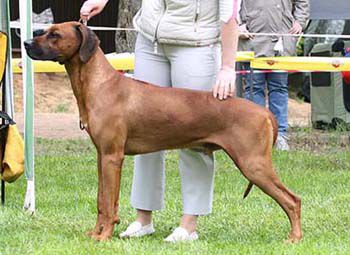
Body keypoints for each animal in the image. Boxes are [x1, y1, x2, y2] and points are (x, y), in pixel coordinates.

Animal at [24, 21, 302, 241]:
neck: (98, 83)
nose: (26, 43)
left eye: (54, 35)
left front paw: (104, 236)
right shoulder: (102, 156)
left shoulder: (113, 156)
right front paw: (96, 233)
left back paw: (294, 238)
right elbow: (102, 201)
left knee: (293, 200)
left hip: (253, 164)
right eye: (45, 31)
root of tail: (265, 112)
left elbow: (108, 202)